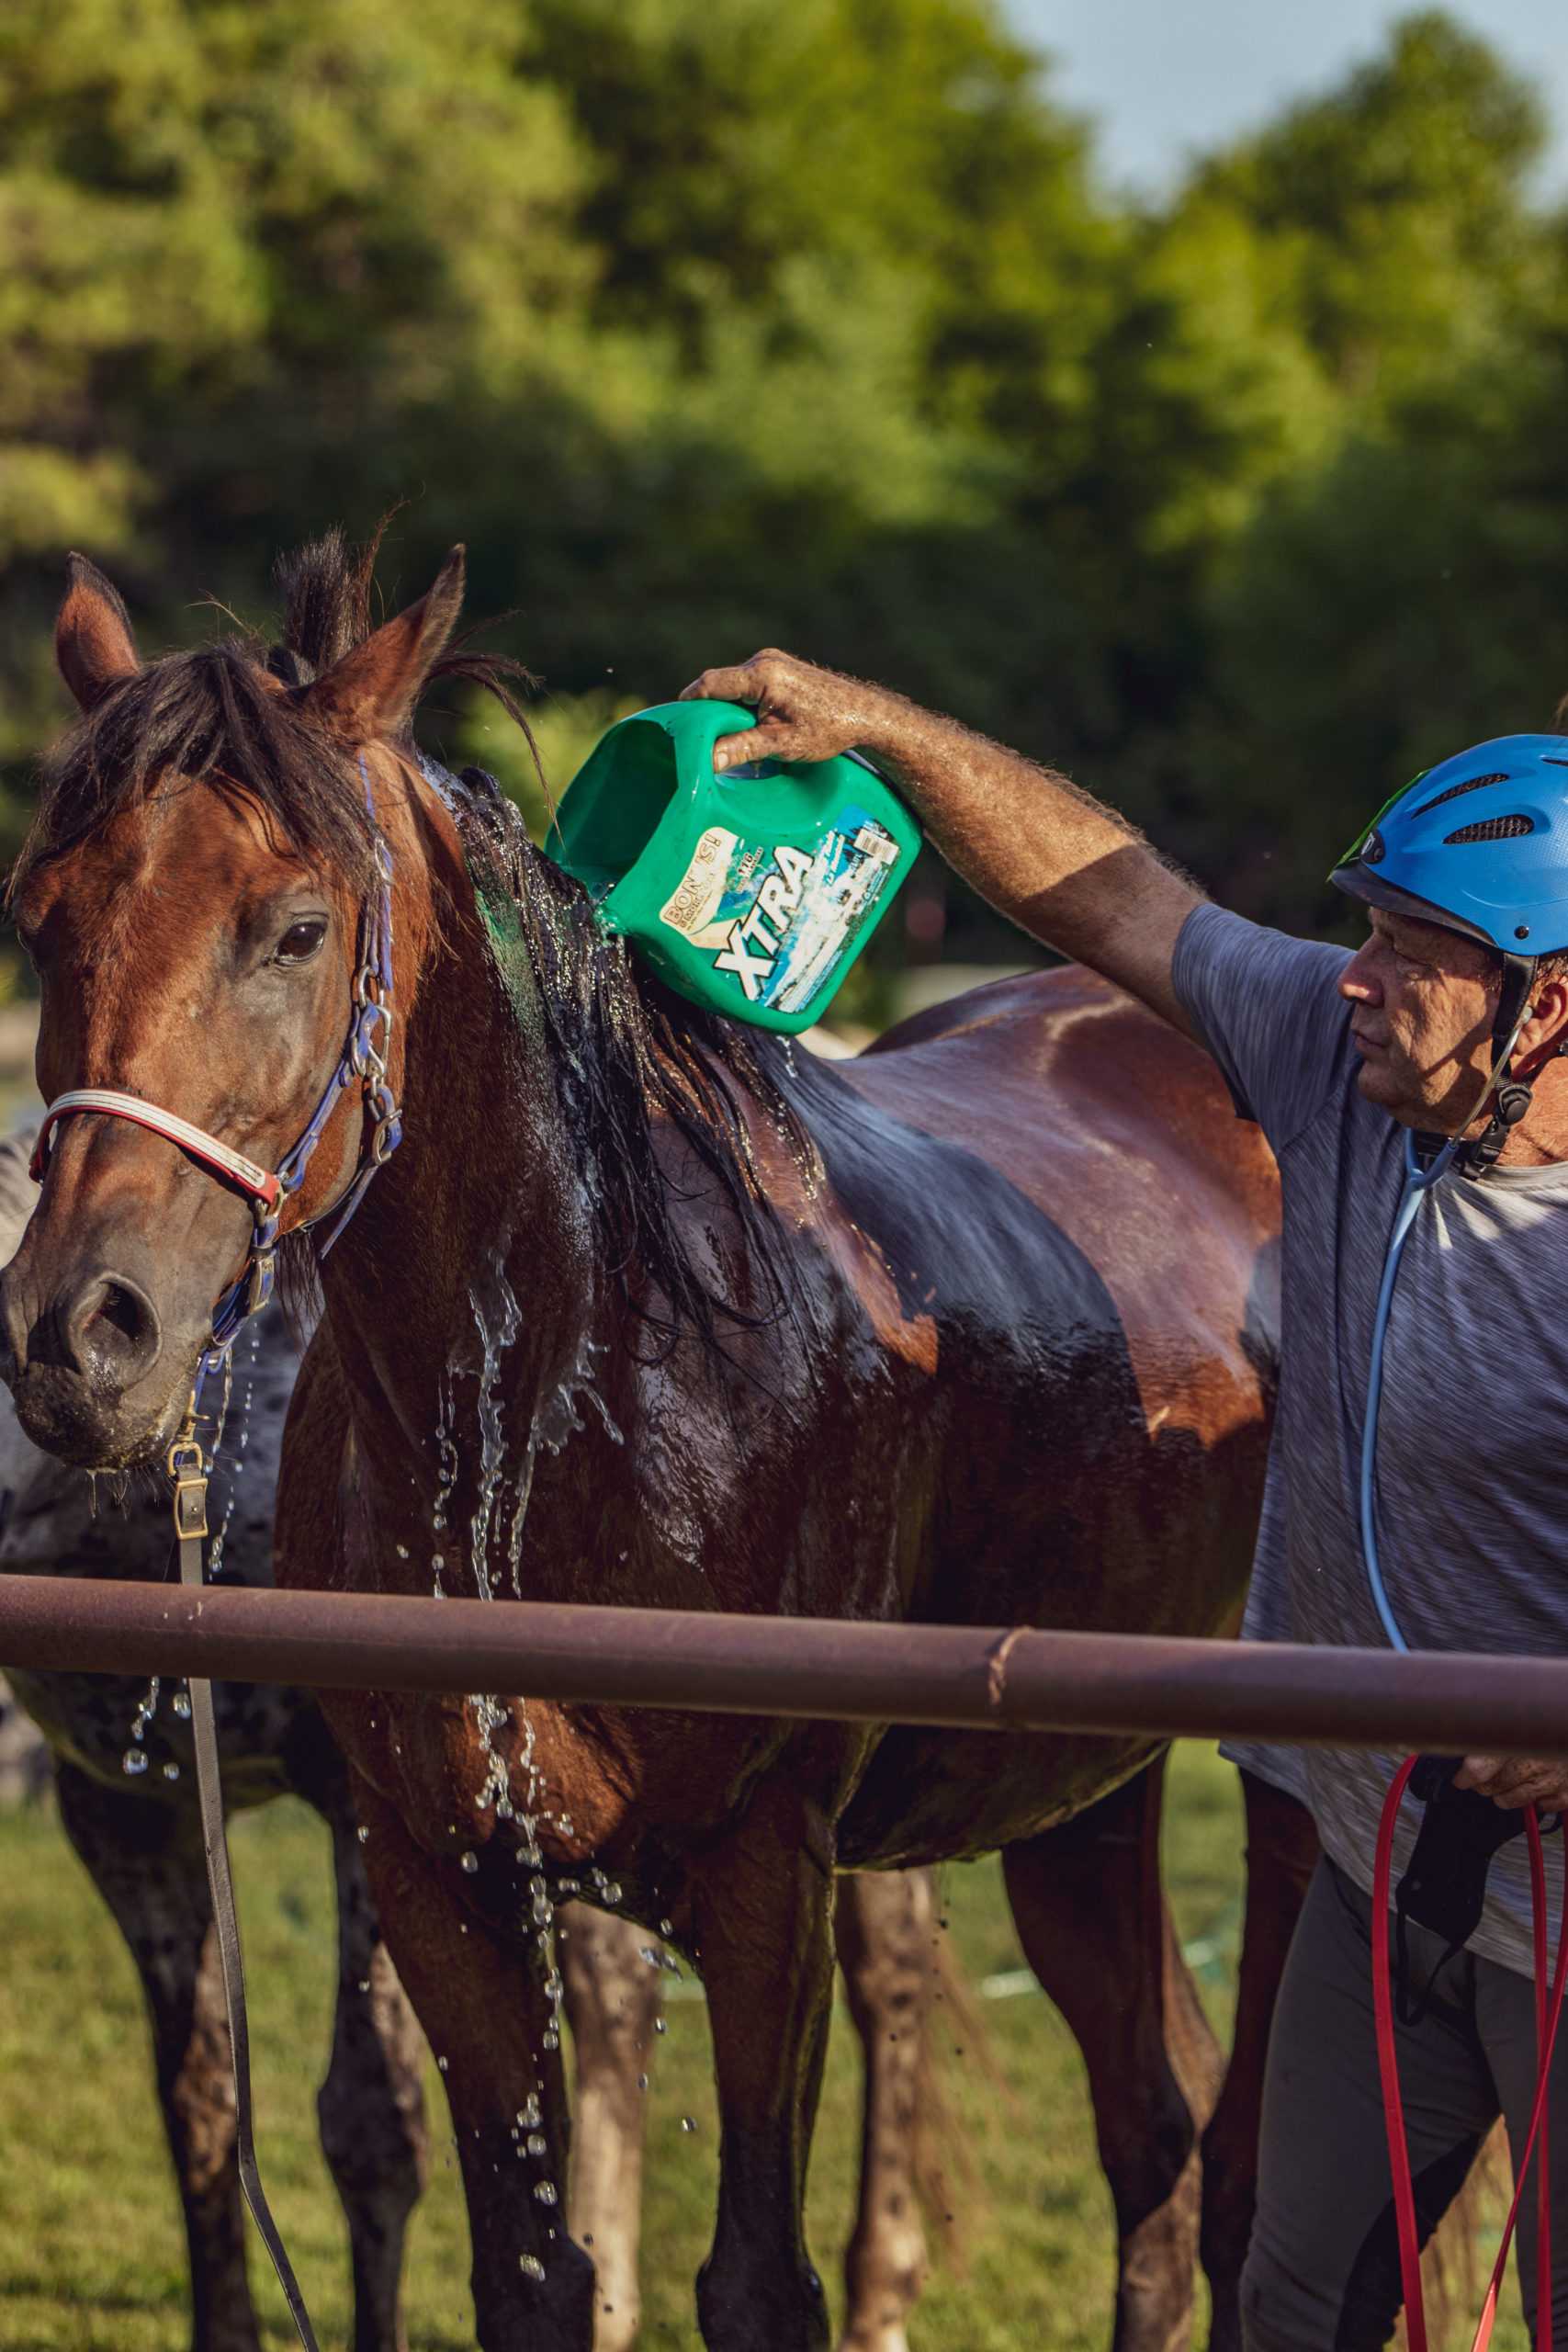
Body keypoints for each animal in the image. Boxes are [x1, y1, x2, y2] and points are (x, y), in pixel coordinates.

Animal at [6, 540, 1316, 2352]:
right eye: (40, 919)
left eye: (294, 929)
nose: (83, 1334)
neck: (572, 1388)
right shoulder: (444, 1878)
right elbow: (525, 2265)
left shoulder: (764, 1879)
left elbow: (753, 2277)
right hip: (1072, 1793)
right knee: (1158, 2130)